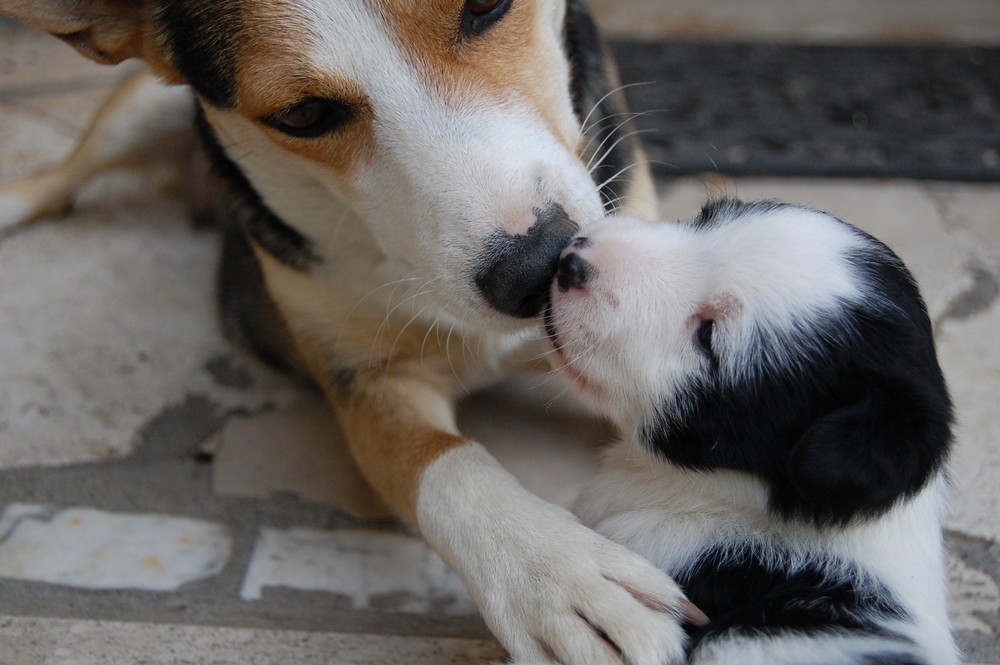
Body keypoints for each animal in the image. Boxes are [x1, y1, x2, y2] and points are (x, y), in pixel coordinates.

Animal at [0, 1, 704, 664]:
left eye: (485, 5)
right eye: (304, 115)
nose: (537, 271)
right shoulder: (364, 379)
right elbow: (441, 462)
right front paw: (557, 577)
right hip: (138, 102)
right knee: (58, 179)